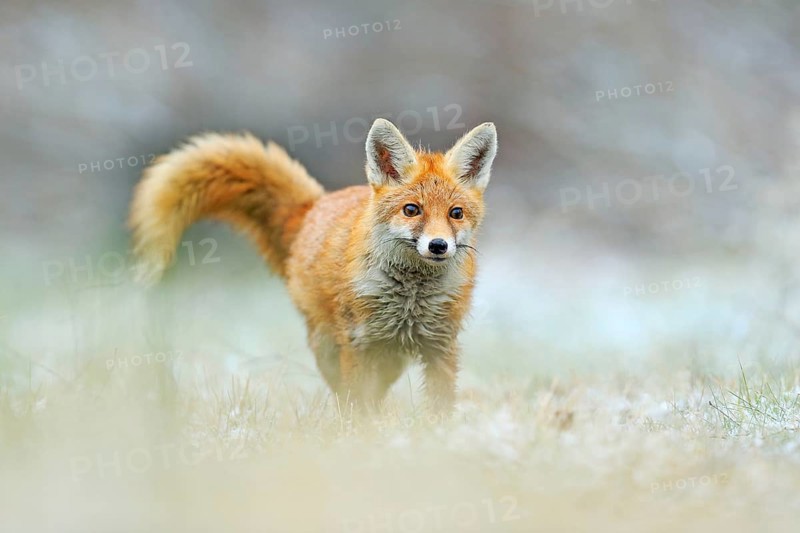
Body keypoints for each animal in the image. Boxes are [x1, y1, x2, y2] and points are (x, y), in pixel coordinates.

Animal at [128, 118, 497, 412]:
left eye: (455, 213)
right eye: (412, 210)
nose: (438, 245)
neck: (410, 298)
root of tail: (313, 207)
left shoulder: (441, 346)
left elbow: (439, 408)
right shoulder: (359, 345)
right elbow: (359, 405)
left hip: (391, 359)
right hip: (329, 347)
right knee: (345, 394)